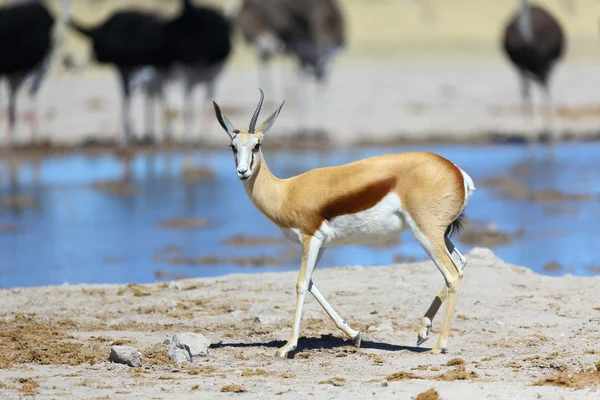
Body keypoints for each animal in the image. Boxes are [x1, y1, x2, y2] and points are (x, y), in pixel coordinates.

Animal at [213, 90, 476, 356]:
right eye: (232, 147)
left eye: (256, 145)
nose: (243, 171)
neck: (285, 192)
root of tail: (457, 172)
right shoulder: (321, 243)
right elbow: (311, 283)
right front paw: (355, 334)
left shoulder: (310, 238)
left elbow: (300, 284)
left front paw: (287, 347)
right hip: (439, 235)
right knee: (461, 263)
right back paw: (423, 331)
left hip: (426, 233)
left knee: (452, 275)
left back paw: (439, 346)